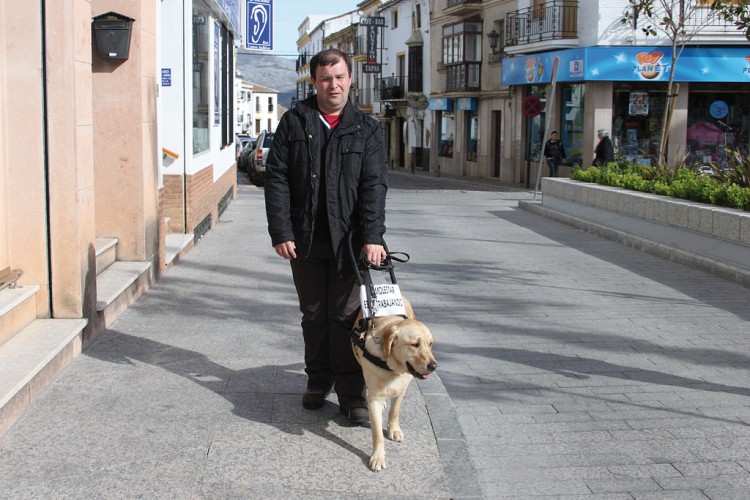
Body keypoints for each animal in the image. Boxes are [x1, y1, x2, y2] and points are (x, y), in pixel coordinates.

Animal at [354, 298, 438, 470]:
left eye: (430, 344)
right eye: (415, 344)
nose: (434, 366)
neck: (391, 366)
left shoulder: (402, 388)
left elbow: (395, 411)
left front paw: (394, 429)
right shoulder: (374, 397)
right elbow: (377, 432)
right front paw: (378, 457)